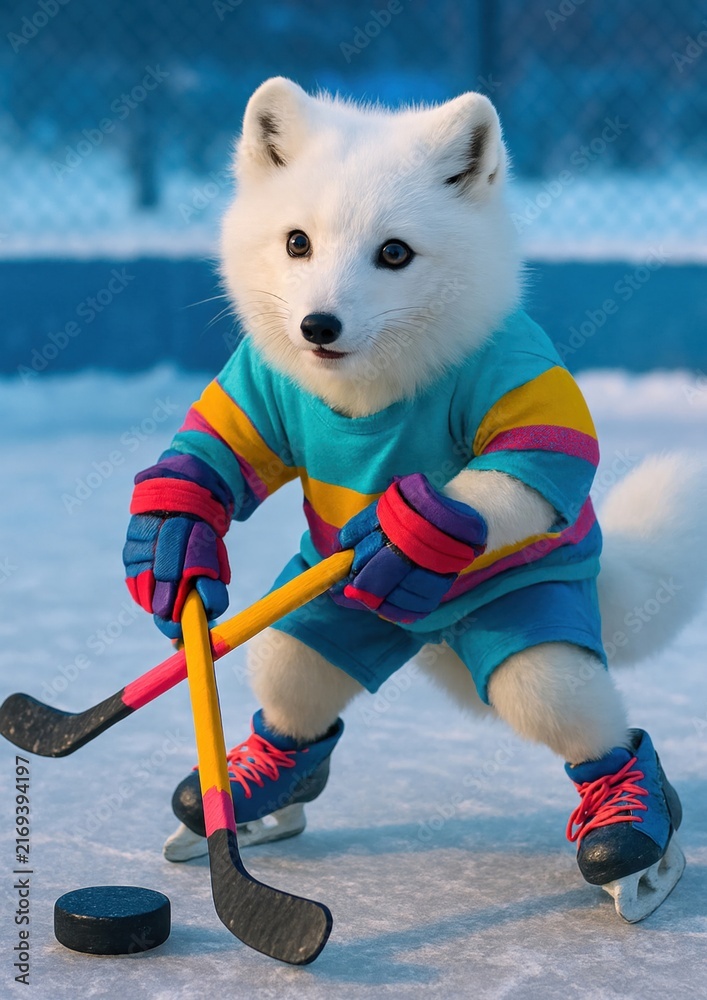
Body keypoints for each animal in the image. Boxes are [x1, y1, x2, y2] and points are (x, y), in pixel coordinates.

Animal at [122, 77, 707, 923]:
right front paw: (173, 537)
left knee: (575, 715)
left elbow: (528, 468)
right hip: (323, 620)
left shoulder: (518, 382)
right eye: (296, 243)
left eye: (393, 253)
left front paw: (404, 533)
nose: (317, 326)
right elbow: (217, 453)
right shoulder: (257, 385)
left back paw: (634, 833)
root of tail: (430, 637)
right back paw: (252, 792)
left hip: (533, 634)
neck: (369, 391)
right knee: (295, 683)